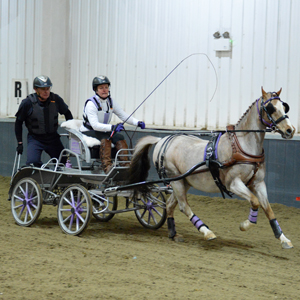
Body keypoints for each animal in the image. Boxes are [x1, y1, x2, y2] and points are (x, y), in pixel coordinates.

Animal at [128, 88, 296, 250]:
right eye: (271, 108)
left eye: (284, 107)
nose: (290, 130)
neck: (242, 146)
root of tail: (161, 140)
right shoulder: (233, 183)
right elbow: (255, 202)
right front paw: (244, 225)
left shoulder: (258, 183)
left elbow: (268, 209)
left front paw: (284, 239)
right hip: (175, 180)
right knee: (183, 206)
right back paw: (207, 232)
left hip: (183, 181)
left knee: (170, 205)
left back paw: (173, 234)